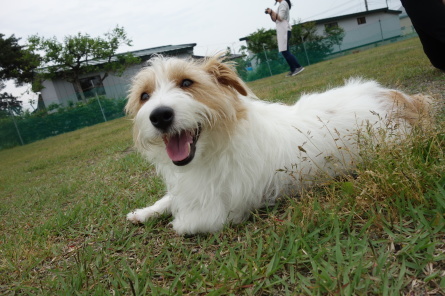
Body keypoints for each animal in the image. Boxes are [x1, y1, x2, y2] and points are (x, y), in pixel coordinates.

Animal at [123, 55, 428, 235]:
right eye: (144, 96)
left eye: (187, 83)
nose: (159, 115)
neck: (217, 146)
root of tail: (400, 98)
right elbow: (169, 198)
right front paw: (144, 212)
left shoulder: (223, 212)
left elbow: (184, 224)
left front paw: (173, 220)